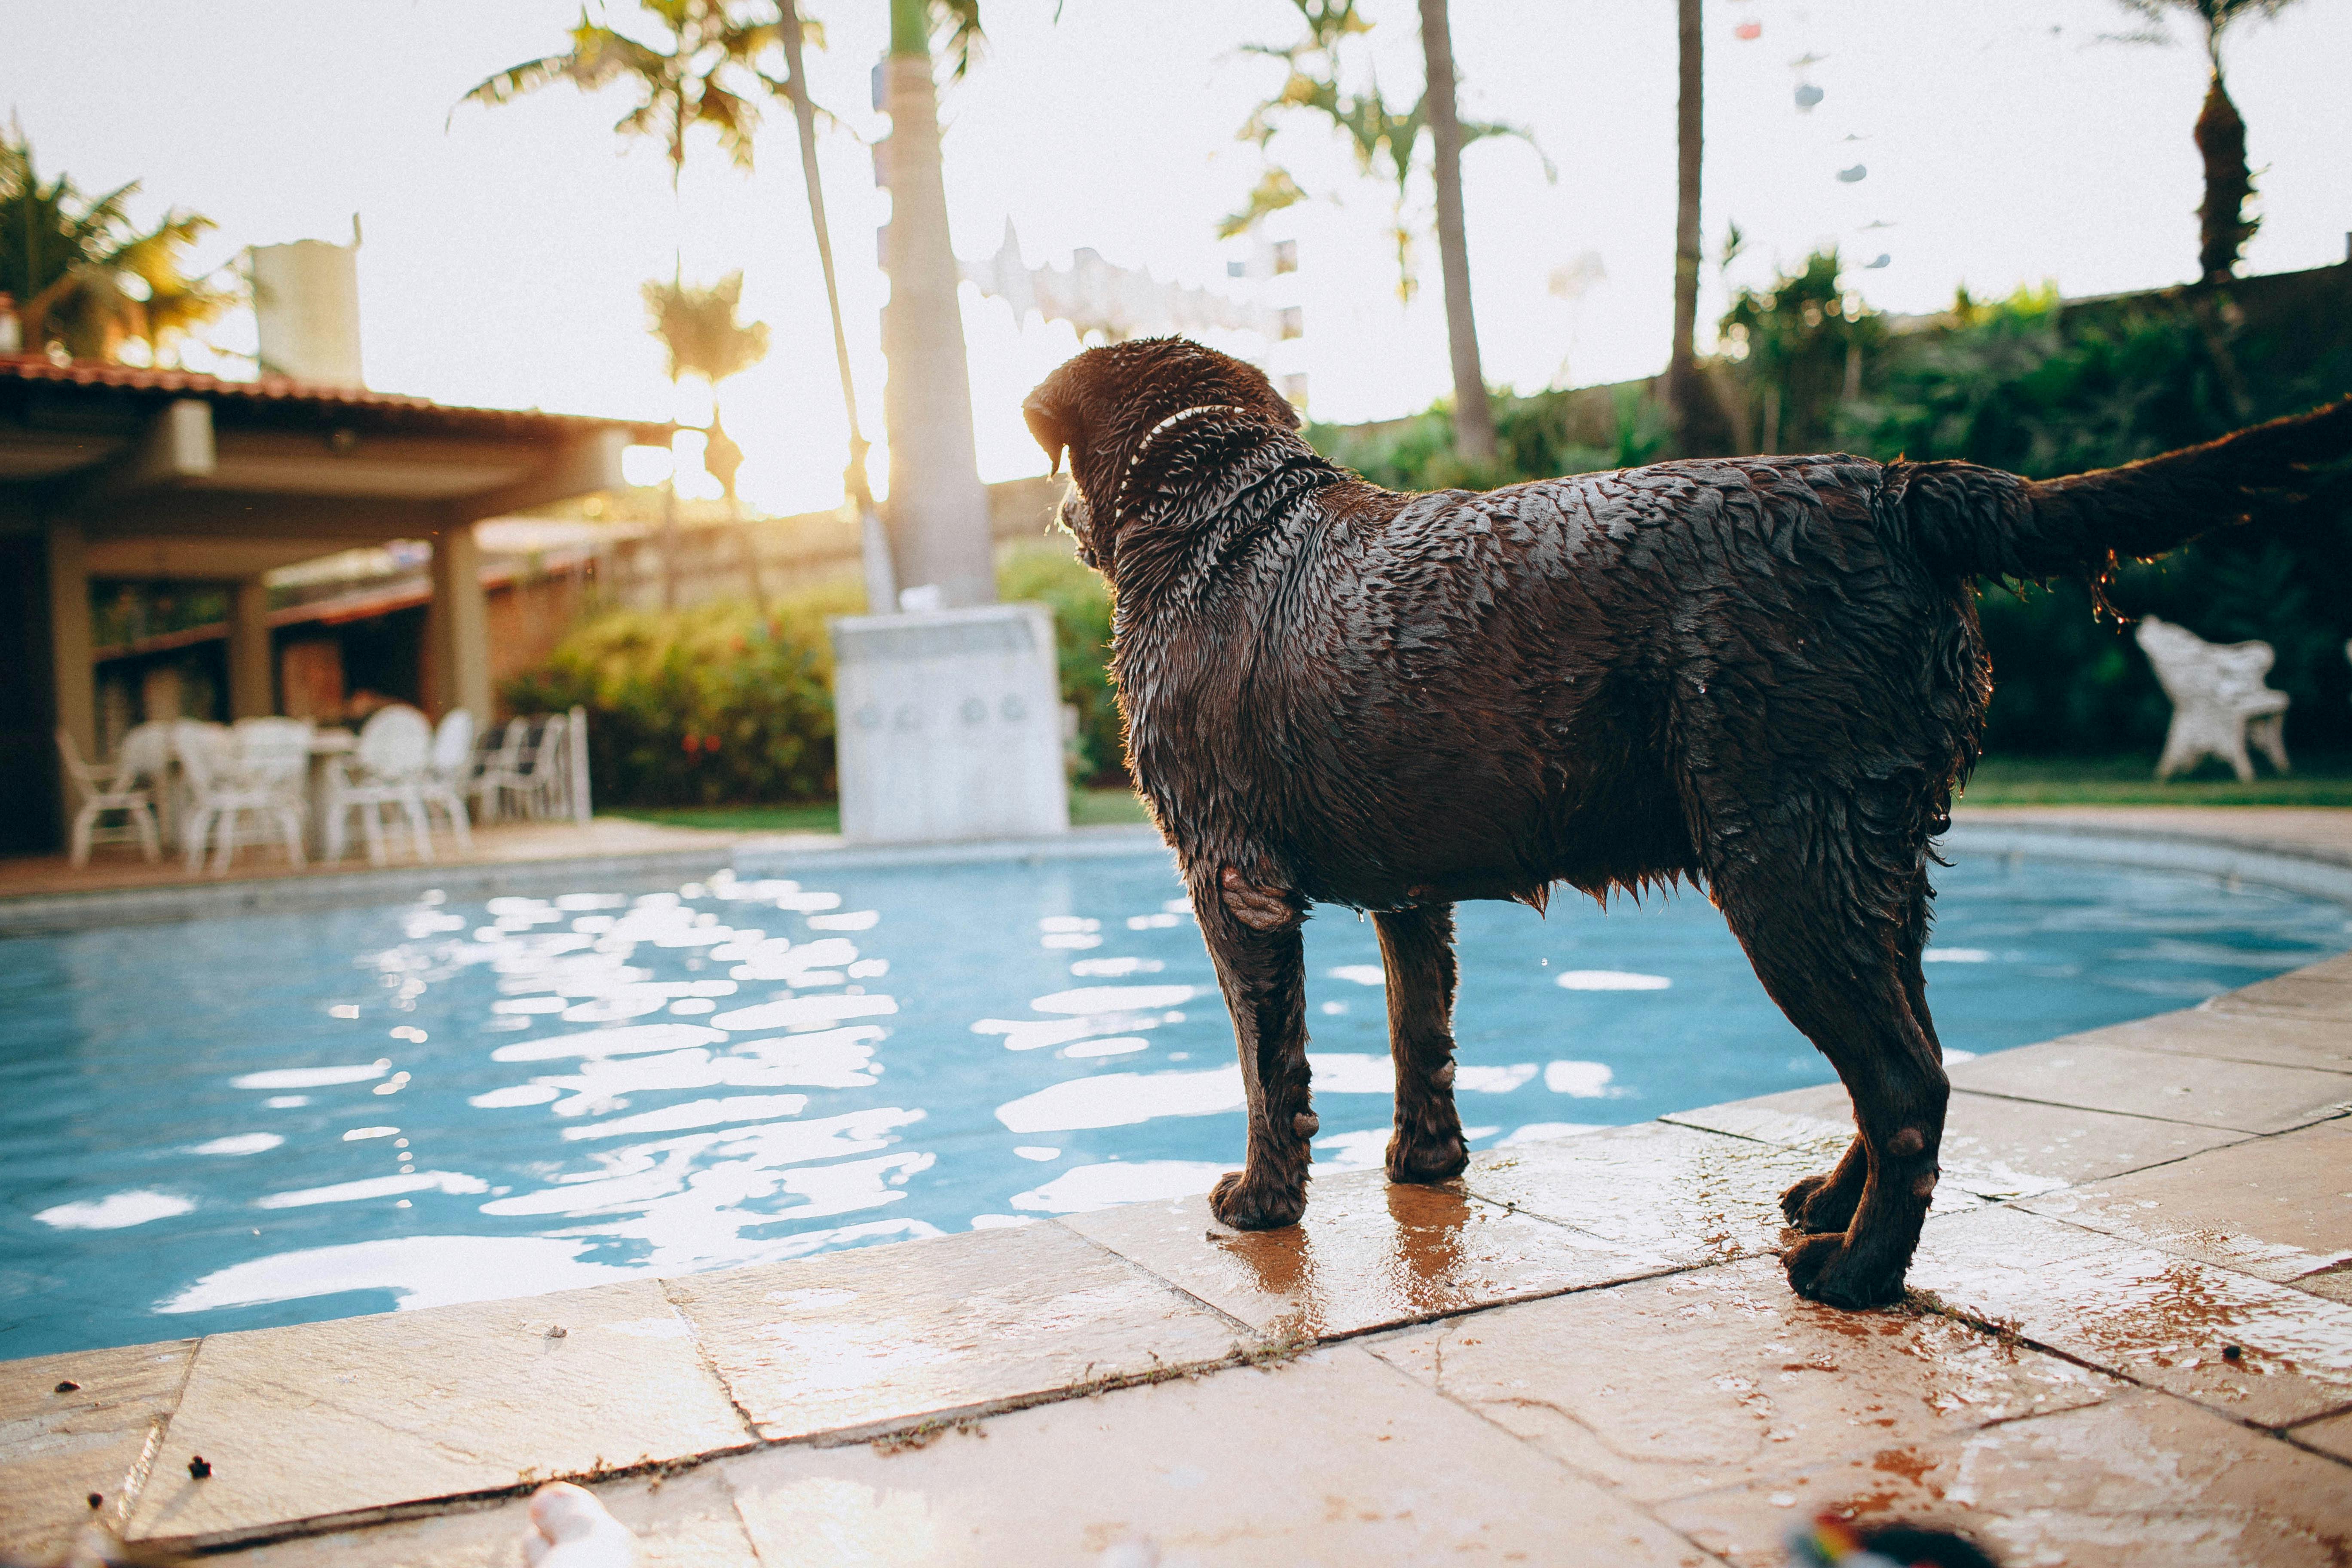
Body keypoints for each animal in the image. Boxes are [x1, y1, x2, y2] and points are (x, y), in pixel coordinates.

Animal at [1025, 343, 2352, 1316]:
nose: (1053, 512)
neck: (1227, 522)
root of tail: (1900, 491)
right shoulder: (1414, 892)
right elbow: (1421, 1037)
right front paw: (1424, 1170)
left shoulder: (1229, 879)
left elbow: (1269, 1068)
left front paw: (1263, 1202)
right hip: (1872, 853)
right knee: (1911, 1051)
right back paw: (1835, 1208)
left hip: (1778, 858)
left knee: (1905, 1079)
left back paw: (1856, 1277)